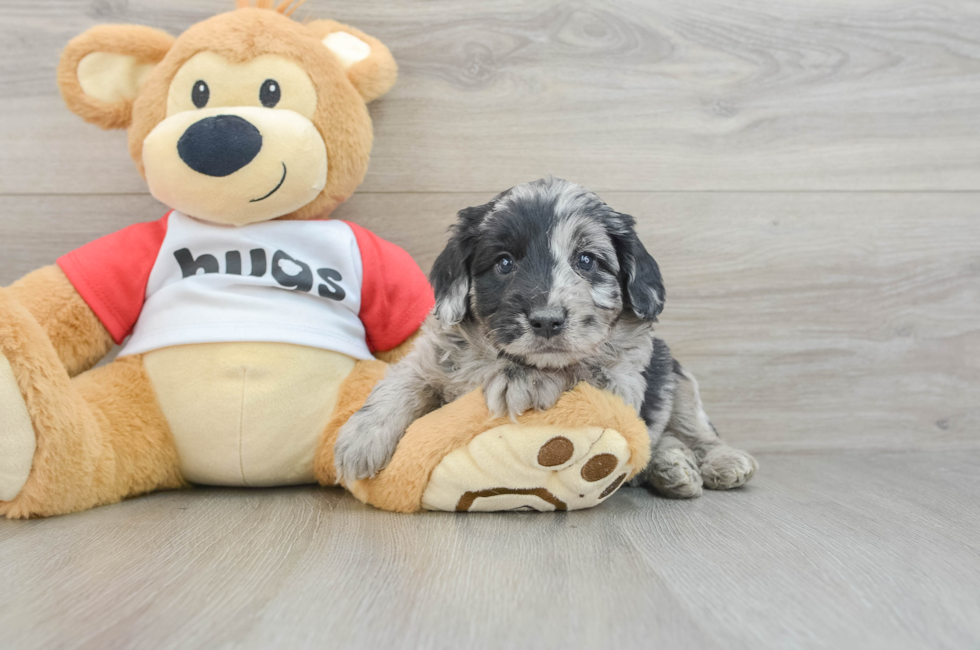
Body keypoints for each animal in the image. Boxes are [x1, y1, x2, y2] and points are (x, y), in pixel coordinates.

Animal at [336, 177, 756, 496]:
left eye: (586, 260)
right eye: (504, 262)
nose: (547, 322)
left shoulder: (620, 381)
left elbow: (578, 368)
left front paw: (525, 379)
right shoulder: (431, 356)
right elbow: (400, 384)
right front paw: (360, 440)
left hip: (676, 375)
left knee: (695, 429)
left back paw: (717, 461)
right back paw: (672, 467)